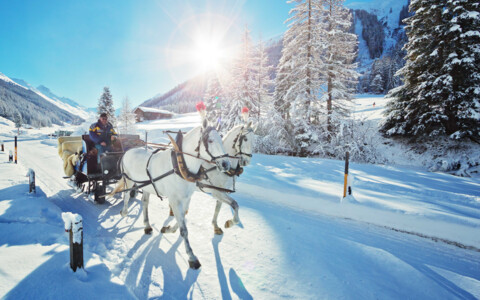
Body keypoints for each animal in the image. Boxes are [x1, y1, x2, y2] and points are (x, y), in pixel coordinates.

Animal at [115, 118, 230, 268]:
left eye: (221, 139)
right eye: (210, 140)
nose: (226, 164)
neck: (180, 167)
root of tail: (127, 151)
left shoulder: (186, 198)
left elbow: (183, 218)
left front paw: (169, 229)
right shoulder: (174, 200)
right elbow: (184, 229)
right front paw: (192, 257)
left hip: (146, 186)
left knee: (144, 202)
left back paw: (147, 226)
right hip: (128, 181)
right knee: (126, 196)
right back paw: (124, 212)